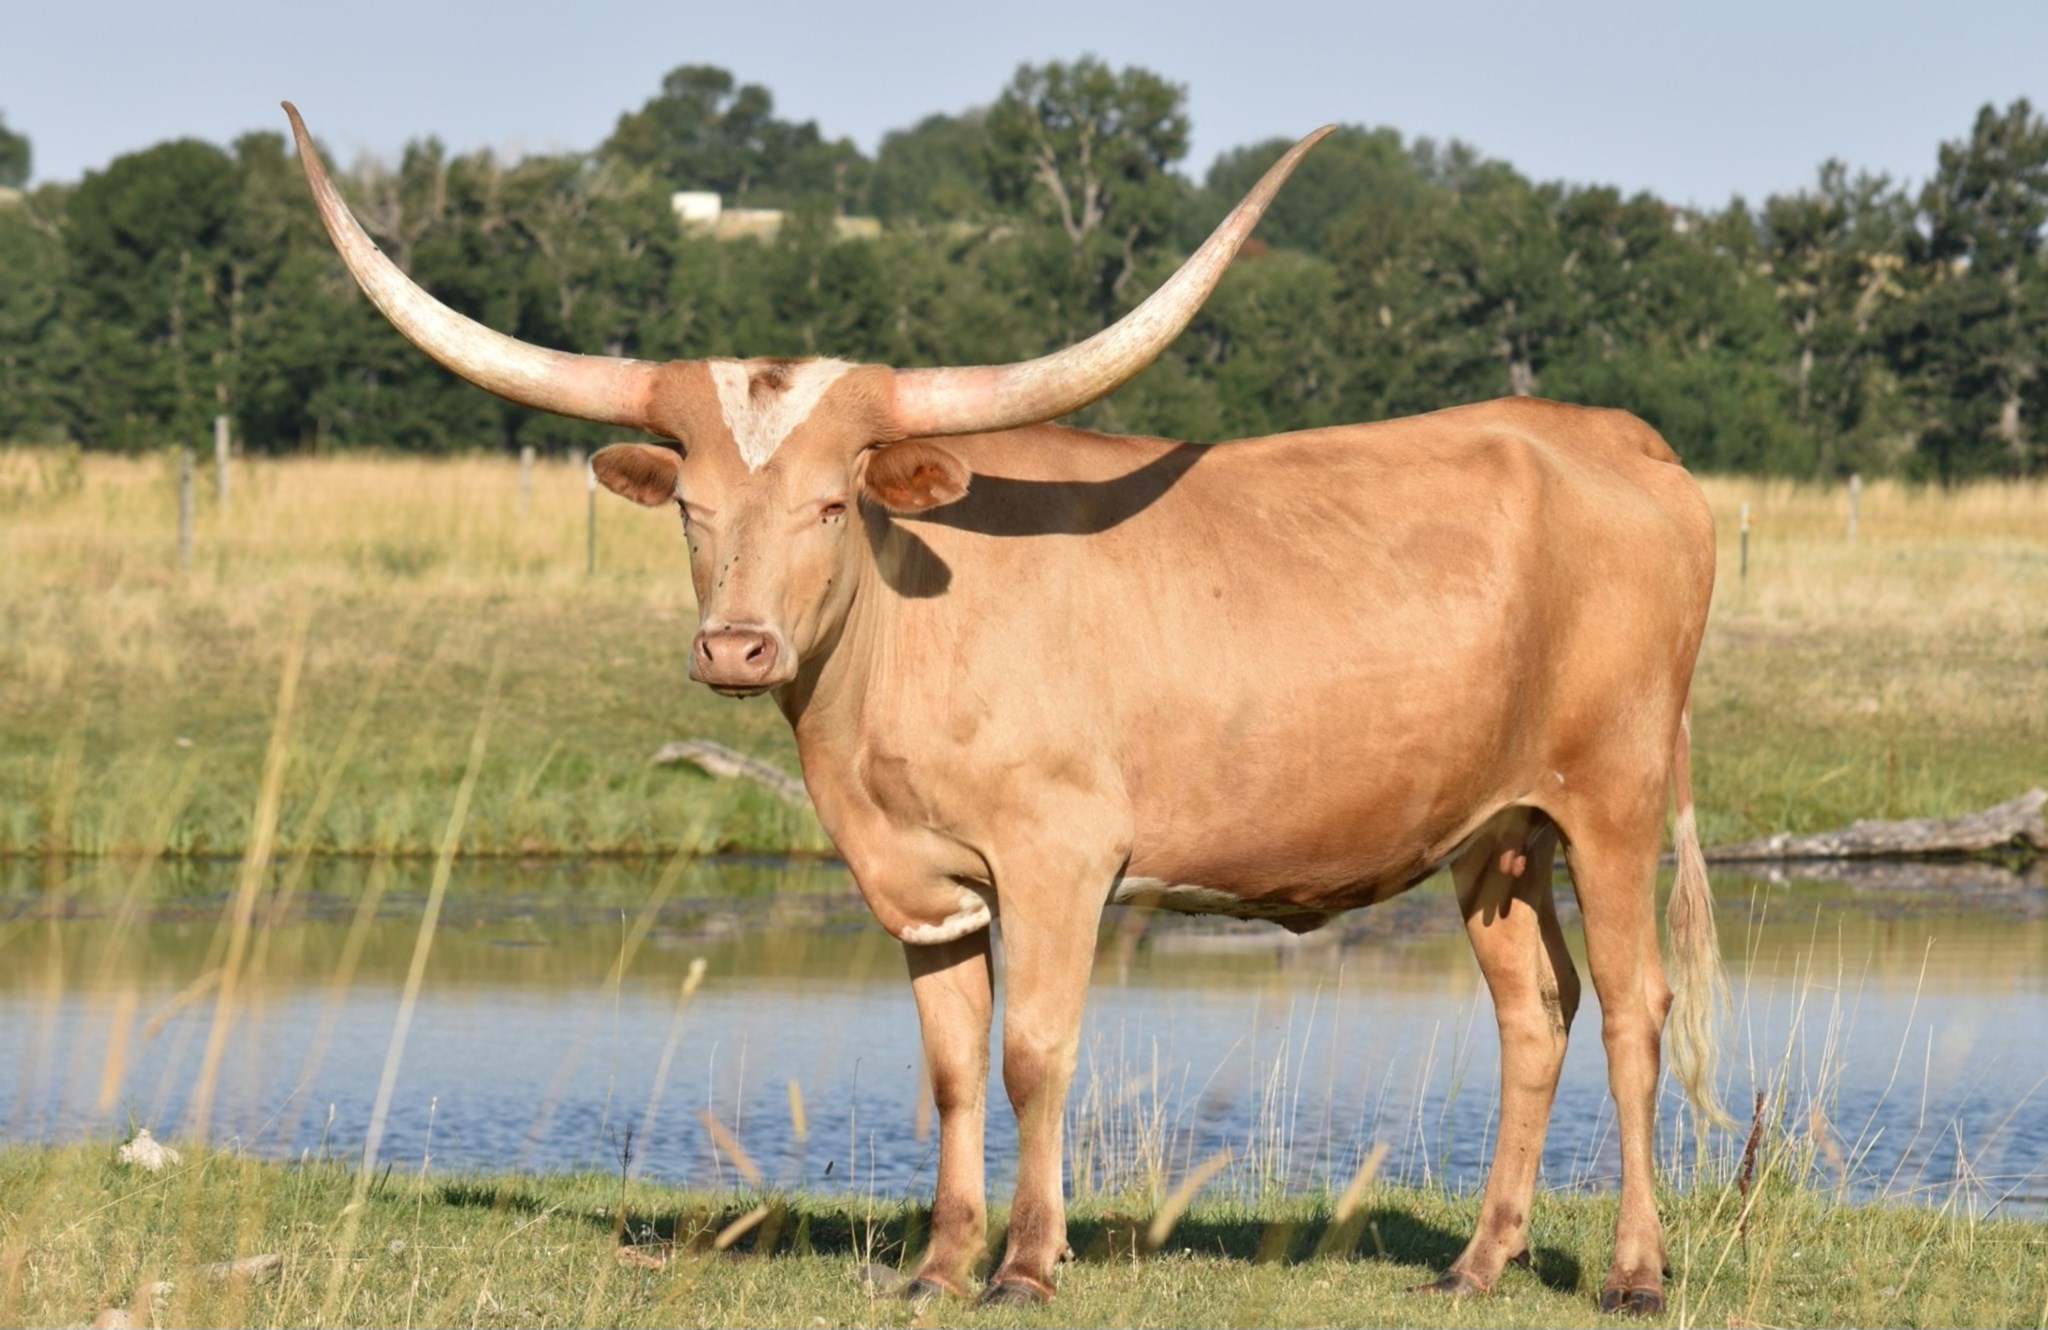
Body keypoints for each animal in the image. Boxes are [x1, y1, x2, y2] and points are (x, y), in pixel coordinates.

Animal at [285, 103, 1726, 1314]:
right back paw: (1478, 1261)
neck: (892, 661)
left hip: (1612, 800)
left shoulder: (1058, 857)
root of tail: (1617, 436)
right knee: (1534, 1009)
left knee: (1636, 1005)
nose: (737, 648)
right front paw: (937, 1262)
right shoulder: (921, 882)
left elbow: (1034, 1048)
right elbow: (949, 1064)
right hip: (1497, 831)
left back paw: (1634, 1271)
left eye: (832, 504)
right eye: (690, 507)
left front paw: (1028, 1265)